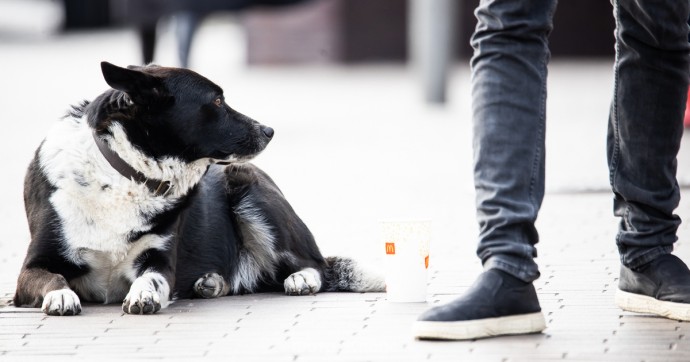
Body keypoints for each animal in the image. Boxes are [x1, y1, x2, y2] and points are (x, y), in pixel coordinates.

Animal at [12, 61, 382, 314]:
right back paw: (212, 283)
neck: (125, 175)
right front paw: (61, 294)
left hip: (247, 185)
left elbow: (153, 278)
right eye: (216, 101)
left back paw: (300, 279)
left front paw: (144, 293)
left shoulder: (160, 261)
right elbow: (52, 278)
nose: (269, 130)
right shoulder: (31, 268)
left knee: (317, 265)